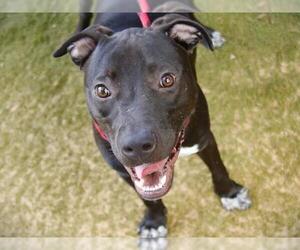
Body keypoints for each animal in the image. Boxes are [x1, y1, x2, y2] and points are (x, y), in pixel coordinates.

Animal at [53, 0, 251, 238]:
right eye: (101, 90)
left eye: (167, 80)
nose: (137, 145)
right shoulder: (122, 169)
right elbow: (148, 198)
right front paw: (154, 222)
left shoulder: (204, 138)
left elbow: (218, 167)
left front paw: (229, 193)